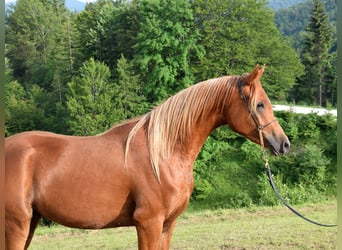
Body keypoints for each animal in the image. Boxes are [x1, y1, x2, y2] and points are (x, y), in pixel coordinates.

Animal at [4, 65, 288, 249]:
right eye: (260, 104)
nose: (283, 143)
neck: (163, 154)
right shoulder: (148, 224)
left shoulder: (167, 225)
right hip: (16, 224)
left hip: (30, 222)